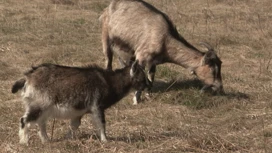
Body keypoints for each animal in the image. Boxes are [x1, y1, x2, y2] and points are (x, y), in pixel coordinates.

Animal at [11, 60, 151, 144]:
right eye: (142, 78)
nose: (149, 85)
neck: (109, 82)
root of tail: (28, 78)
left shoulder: (79, 112)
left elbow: (74, 125)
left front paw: (68, 138)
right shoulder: (97, 106)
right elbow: (101, 124)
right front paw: (105, 140)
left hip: (44, 108)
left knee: (41, 123)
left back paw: (46, 140)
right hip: (39, 105)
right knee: (24, 120)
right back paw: (24, 141)